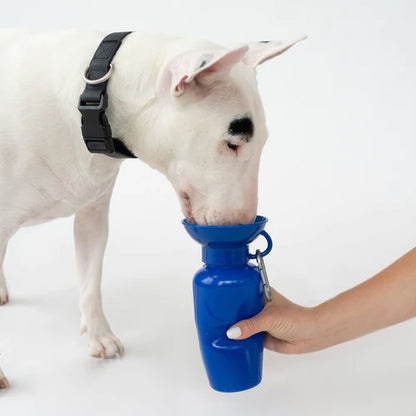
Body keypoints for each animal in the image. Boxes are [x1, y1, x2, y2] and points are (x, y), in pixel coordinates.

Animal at [0, 28, 302, 386]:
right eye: (233, 143)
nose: (242, 227)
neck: (93, 100)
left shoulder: (93, 214)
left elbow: (90, 280)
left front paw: (100, 339)